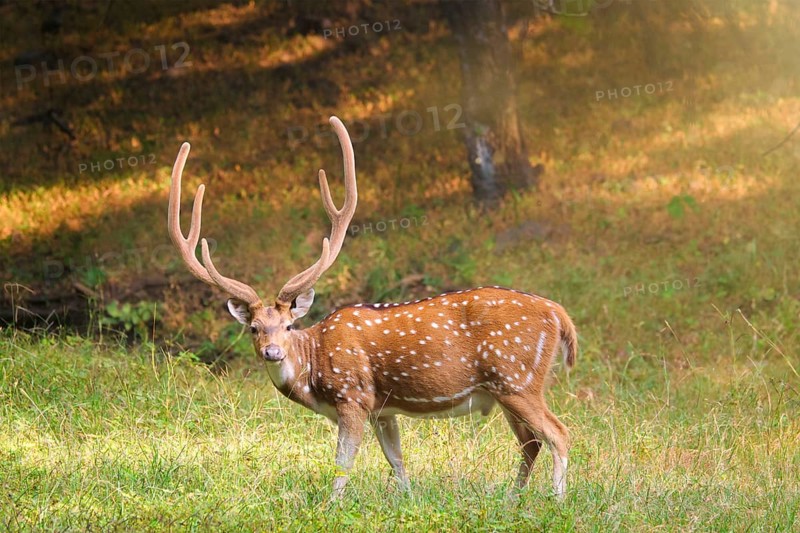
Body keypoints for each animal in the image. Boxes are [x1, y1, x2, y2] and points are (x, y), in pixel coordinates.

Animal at [167, 116, 578, 499]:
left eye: (288, 325)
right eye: (253, 328)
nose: (272, 352)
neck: (314, 367)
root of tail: (558, 314)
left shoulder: (354, 396)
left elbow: (342, 462)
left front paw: (330, 506)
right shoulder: (384, 409)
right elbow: (396, 460)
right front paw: (408, 499)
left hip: (516, 377)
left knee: (558, 433)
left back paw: (556, 500)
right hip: (506, 388)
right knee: (531, 441)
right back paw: (512, 498)